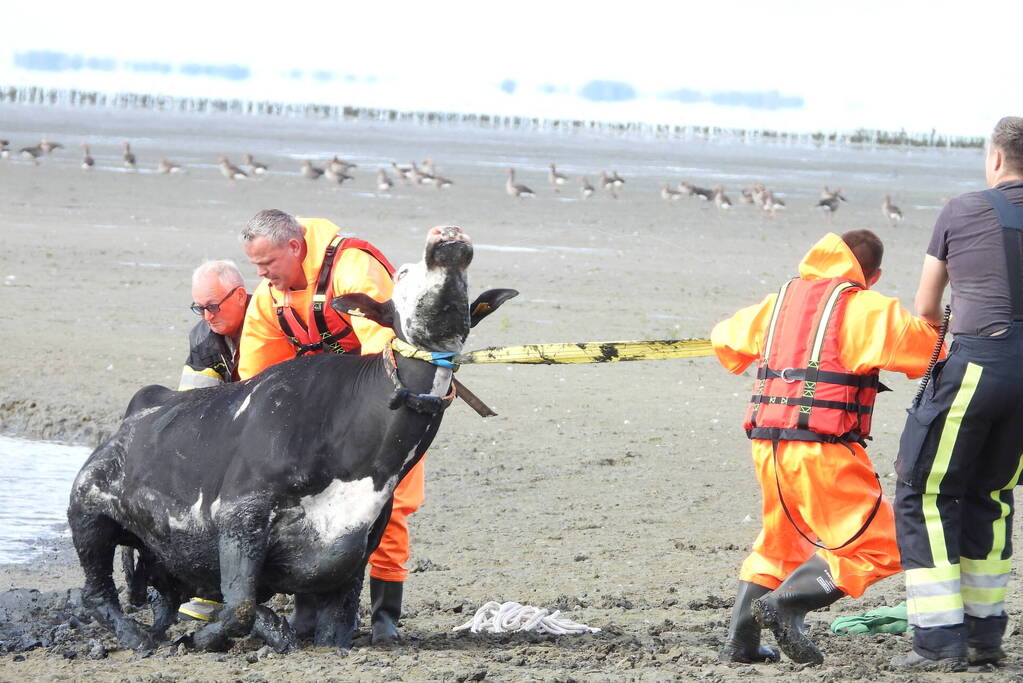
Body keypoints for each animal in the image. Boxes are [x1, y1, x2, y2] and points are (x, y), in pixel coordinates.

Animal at [70, 226, 519, 654]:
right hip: (87, 510)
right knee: (97, 594)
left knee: (163, 593)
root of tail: (142, 405)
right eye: (404, 273)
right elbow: (240, 605)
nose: (448, 238)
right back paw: (138, 638)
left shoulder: (355, 547)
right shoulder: (240, 516)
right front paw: (207, 637)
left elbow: (335, 626)